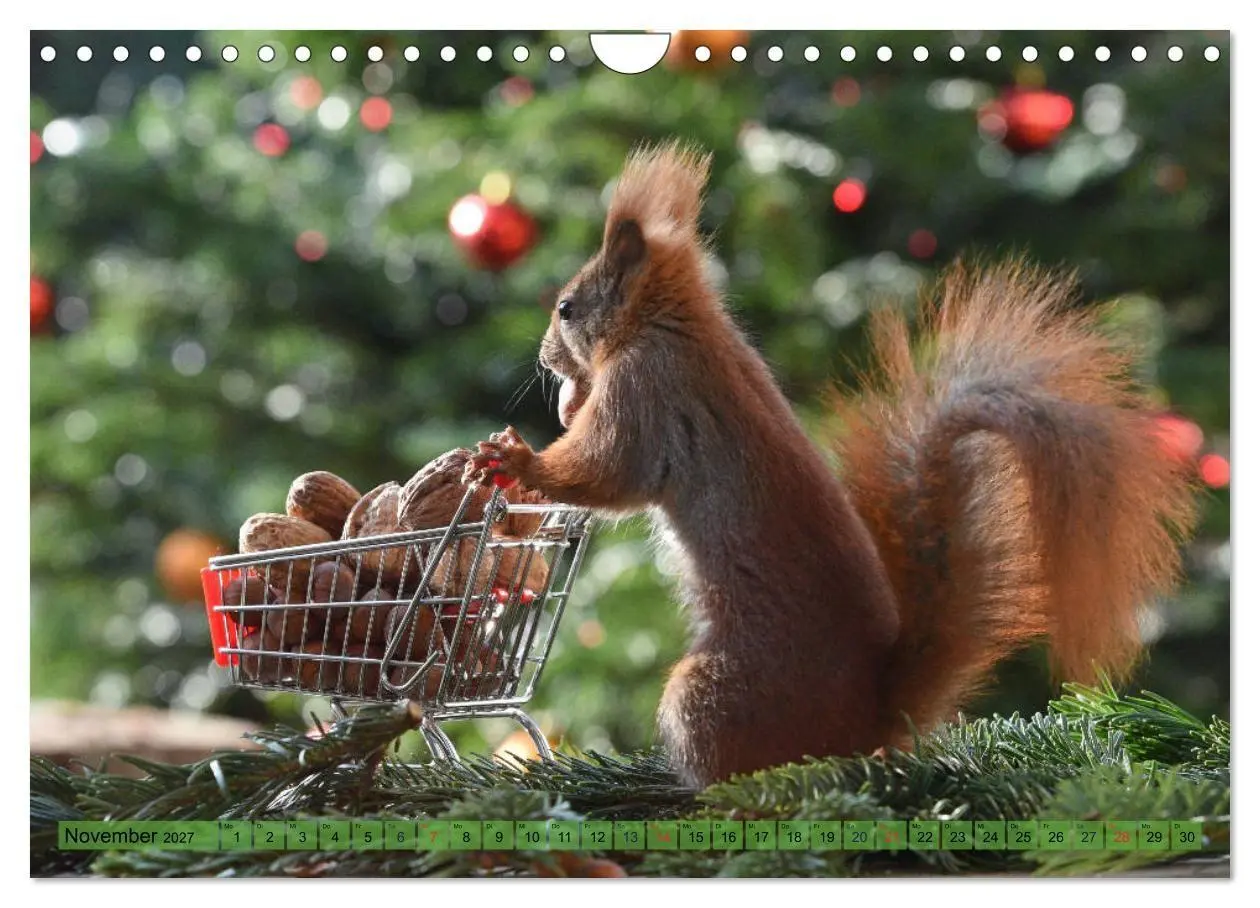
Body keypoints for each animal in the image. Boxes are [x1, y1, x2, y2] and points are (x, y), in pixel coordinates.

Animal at [468, 141, 1199, 789]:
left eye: (567, 309)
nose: (545, 359)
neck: (675, 325)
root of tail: (868, 721)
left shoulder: (648, 392)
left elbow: (607, 471)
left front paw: (519, 458)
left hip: (711, 694)